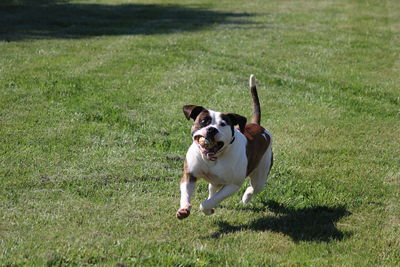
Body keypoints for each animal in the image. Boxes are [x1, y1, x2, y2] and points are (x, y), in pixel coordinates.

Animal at [177, 75, 274, 220]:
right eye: (203, 121)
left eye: (223, 124)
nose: (212, 129)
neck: (213, 157)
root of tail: (258, 126)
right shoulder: (190, 175)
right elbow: (186, 193)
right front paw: (184, 209)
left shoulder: (232, 185)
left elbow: (206, 203)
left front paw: (207, 209)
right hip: (215, 181)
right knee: (212, 190)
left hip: (261, 174)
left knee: (254, 187)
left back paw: (246, 197)